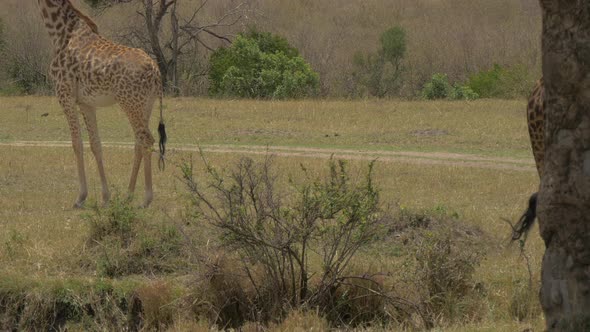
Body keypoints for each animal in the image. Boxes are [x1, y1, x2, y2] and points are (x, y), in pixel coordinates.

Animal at [35, 0, 166, 208]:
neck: (59, 32)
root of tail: (155, 72)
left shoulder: (65, 94)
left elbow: (76, 143)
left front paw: (80, 197)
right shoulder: (86, 103)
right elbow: (95, 144)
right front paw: (105, 196)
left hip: (130, 103)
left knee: (146, 140)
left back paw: (146, 198)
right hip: (146, 105)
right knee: (139, 141)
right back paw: (128, 195)